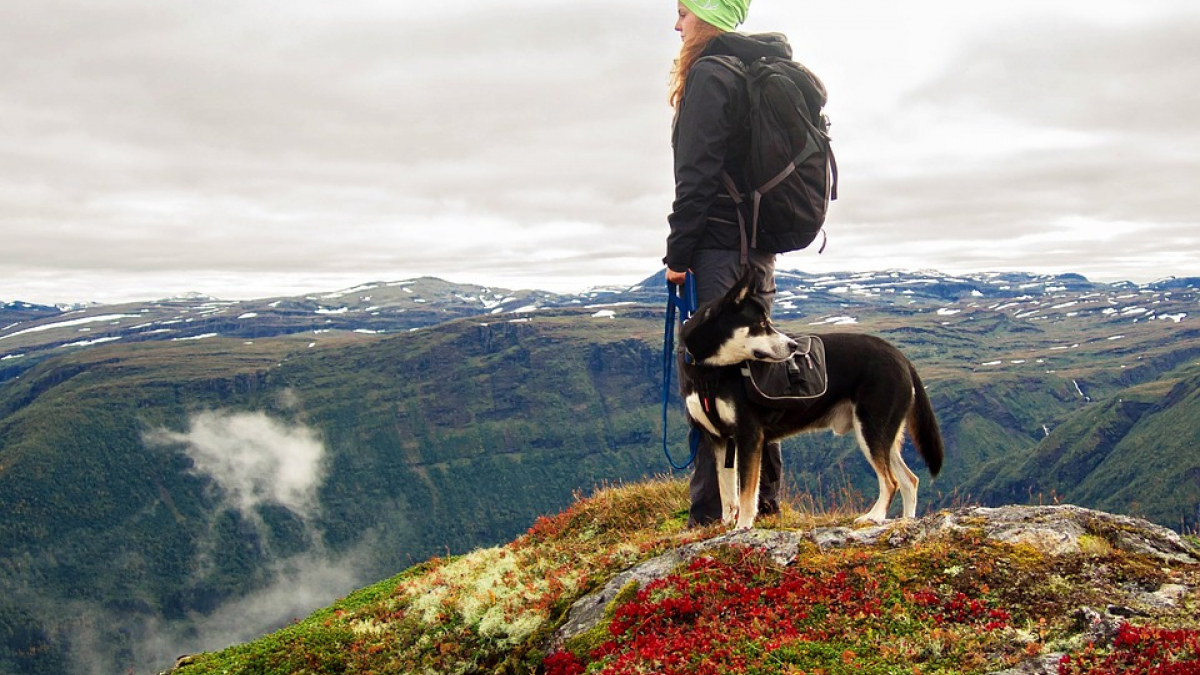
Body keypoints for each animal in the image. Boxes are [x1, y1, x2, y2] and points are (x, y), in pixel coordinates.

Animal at [681, 266, 940, 526]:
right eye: (762, 324)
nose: (793, 346)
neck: (709, 370)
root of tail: (901, 358)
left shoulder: (749, 435)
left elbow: (745, 494)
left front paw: (742, 527)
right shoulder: (720, 440)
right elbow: (727, 493)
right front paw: (725, 526)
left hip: (871, 430)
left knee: (891, 481)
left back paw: (873, 516)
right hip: (883, 435)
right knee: (910, 480)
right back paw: (906, 521)